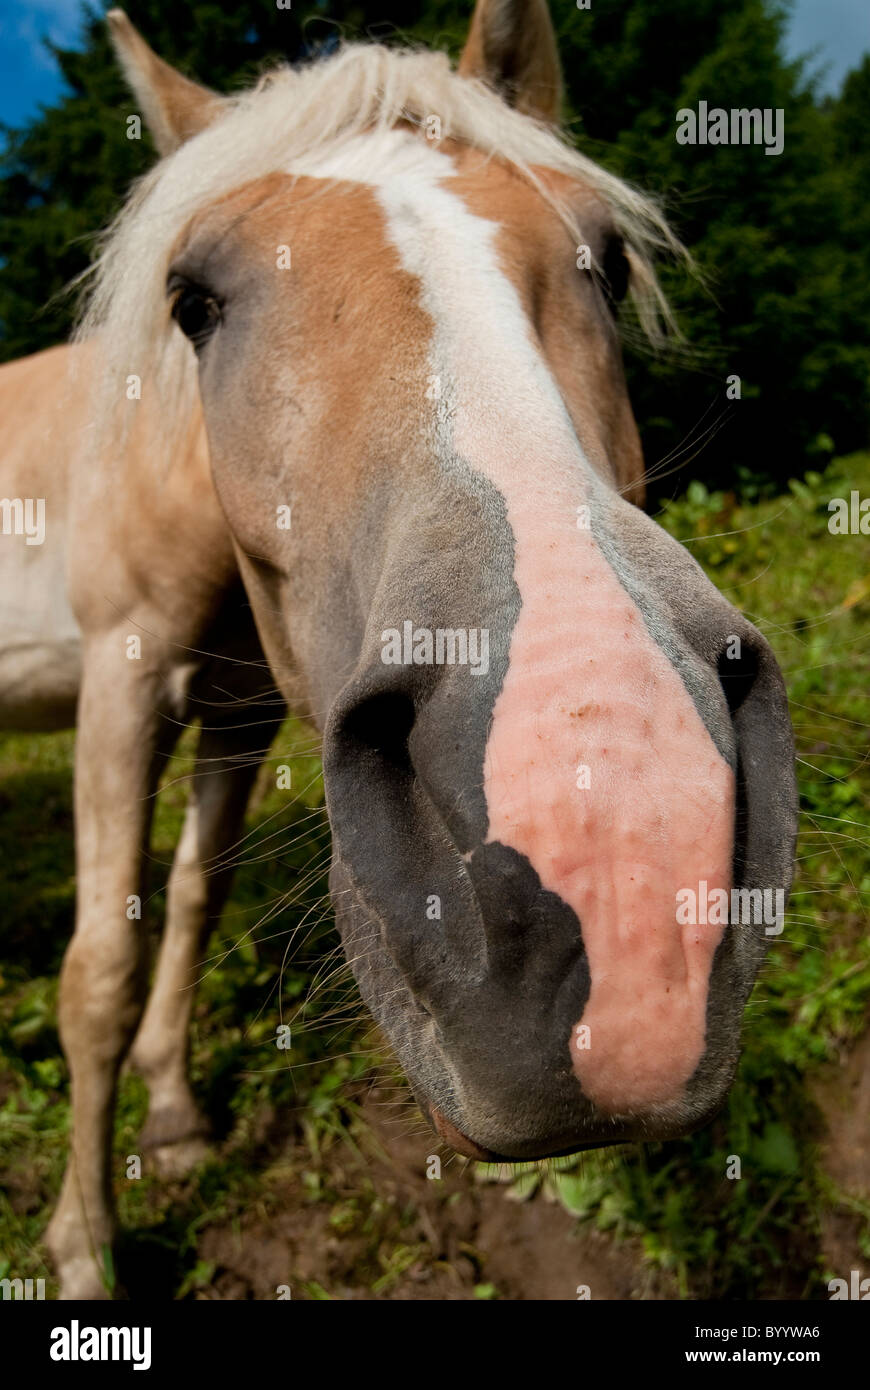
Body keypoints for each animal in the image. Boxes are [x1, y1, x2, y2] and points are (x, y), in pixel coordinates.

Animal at [32, 0, 796, 1299]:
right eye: (193, 298)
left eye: (608, 257)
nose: (606, 843)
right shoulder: (122, 681)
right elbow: (98, 970)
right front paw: (84, 1246)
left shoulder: (240, 711)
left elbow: (189, 900)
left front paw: (174, 1121)